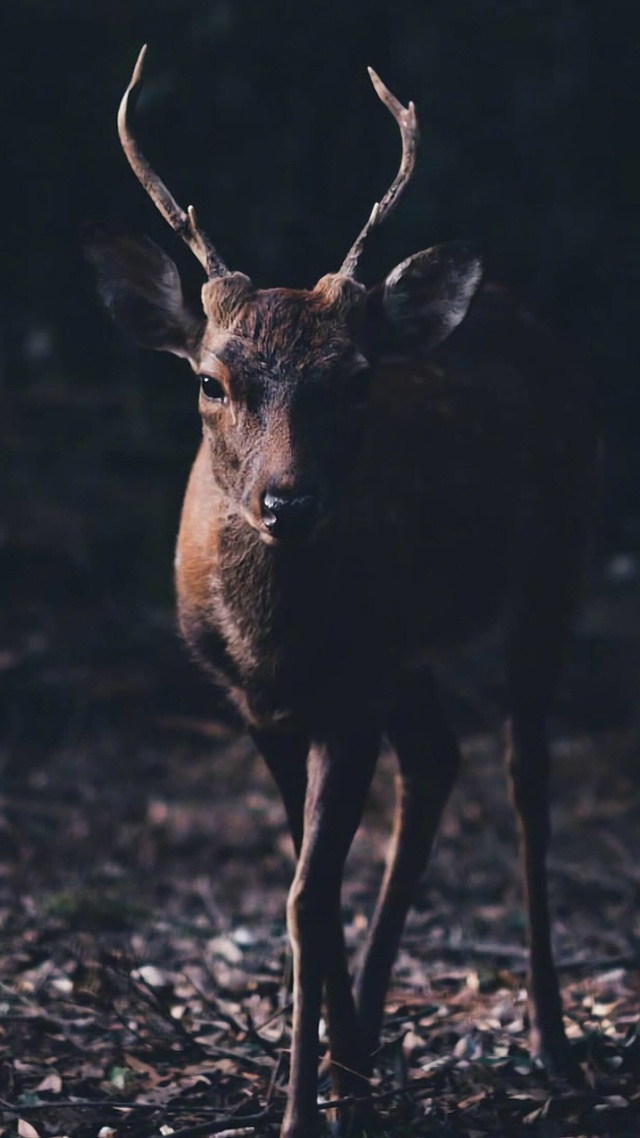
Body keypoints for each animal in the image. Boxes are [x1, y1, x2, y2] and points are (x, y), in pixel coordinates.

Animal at [87, 44, 596, 1138]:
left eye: (357, 380)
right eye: (210, 379)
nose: (291, 500)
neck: (275, 638)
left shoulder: (347, 693)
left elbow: (306, 897)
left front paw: (304, 1111)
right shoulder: (267, 704)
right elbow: (304, 888)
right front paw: (339, 1069)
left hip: (558, 555)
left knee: (523, 780)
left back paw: (553, 1045)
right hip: (409, 646)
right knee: (437, 758)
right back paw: (369, 1042)